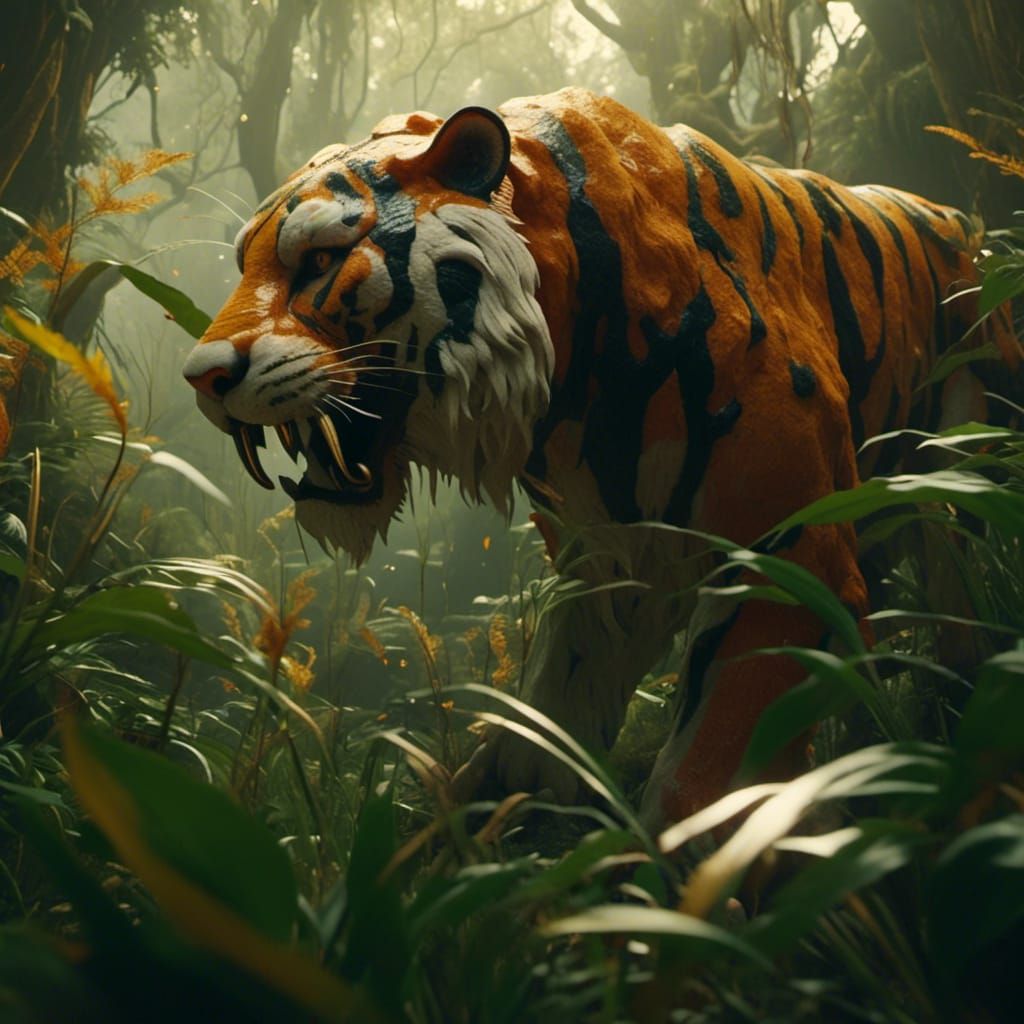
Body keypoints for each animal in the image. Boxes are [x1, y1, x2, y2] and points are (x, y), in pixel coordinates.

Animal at [182, 87, 1020, 827]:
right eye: (243, 265)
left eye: (320, 261)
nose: (201, 377)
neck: (564, 377)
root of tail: (965, 223)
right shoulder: (606, 559)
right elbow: (558, 692)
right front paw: (494, 810)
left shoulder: (788, 549)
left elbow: (721, 744)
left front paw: (691, 873)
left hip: (963, 462)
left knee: (960, 588)